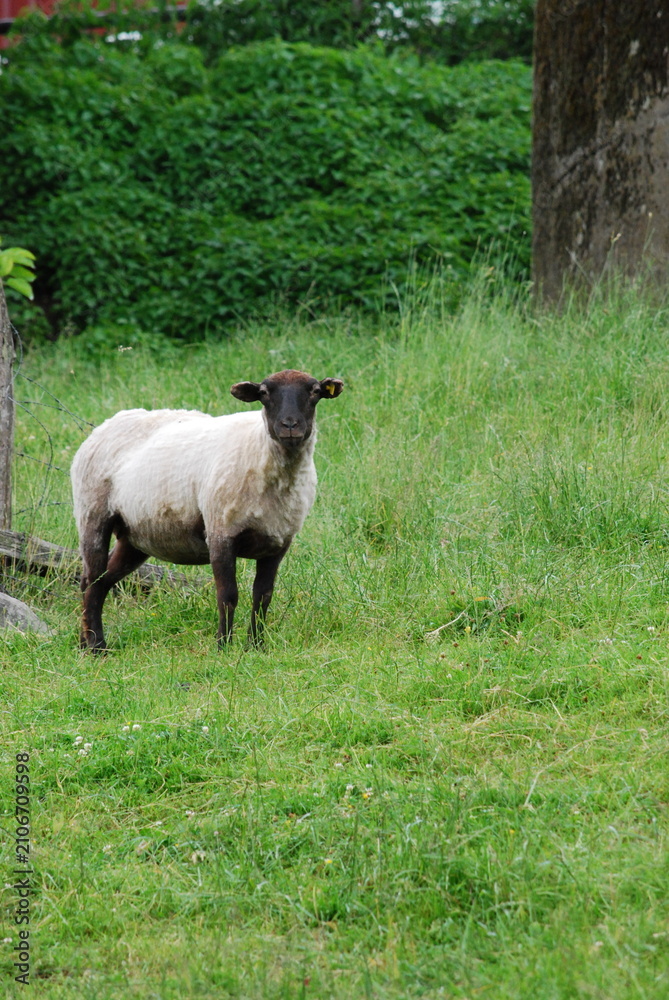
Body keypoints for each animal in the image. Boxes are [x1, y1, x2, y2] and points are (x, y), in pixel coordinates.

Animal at [71, 369, 344, 652]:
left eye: (315, 392)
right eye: (264, 393)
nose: (290, 425)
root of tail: (106, 424)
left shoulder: (278, 542)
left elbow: (263, 596)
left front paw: (256, 646)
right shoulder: (220, 531)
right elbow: (227, 595)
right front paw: (223, 646)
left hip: (135, 536)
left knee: (98, 581)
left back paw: (85, 641)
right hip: (92, 513)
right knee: (92, 580)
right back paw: (97, 646)